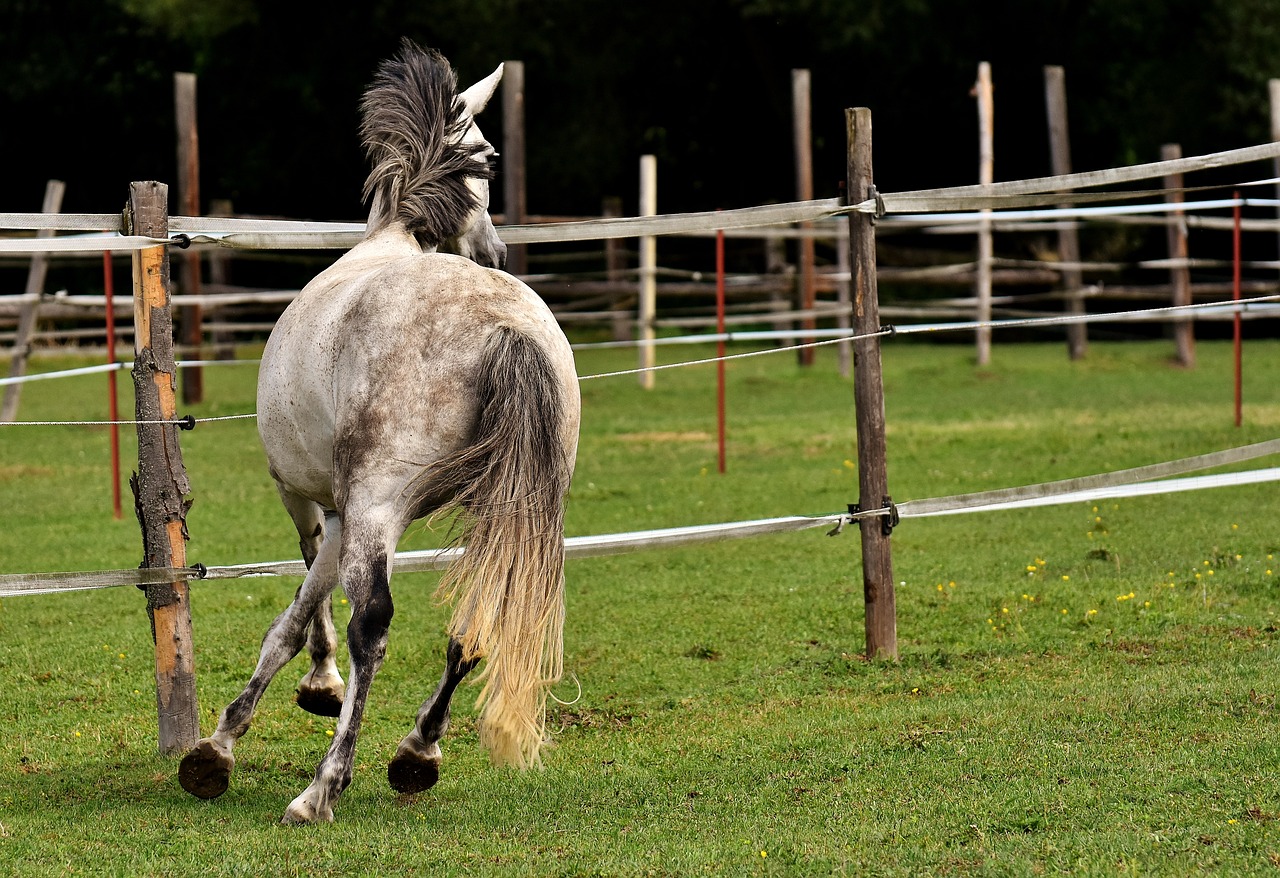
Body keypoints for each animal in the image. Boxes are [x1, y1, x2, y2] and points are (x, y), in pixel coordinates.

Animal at [179, 41, 581, 824]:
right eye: (488, 158)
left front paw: (224, 743)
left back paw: (322, 788)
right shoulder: (344, 513)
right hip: (502, 511)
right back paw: (416, 754)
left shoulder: (315, 502)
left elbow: (296, 619)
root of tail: (505, 328)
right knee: (474, 624)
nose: (495, 253)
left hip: (376, 509)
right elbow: (300, 611)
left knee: (375, 626)